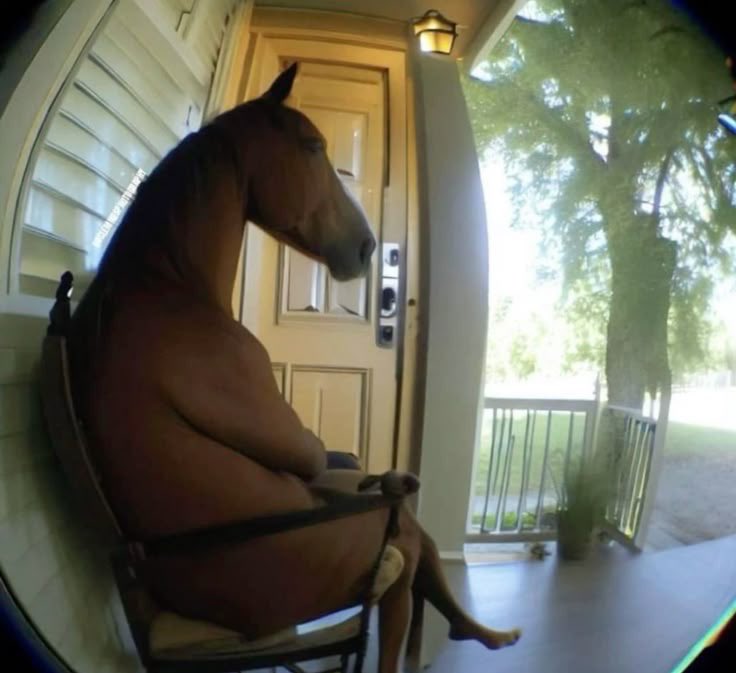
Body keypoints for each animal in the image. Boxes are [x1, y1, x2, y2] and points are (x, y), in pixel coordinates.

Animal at [67, 63, 521, 673]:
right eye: (312, 145)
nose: (369, 246)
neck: (166, 285)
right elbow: (310, 451)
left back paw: (482, 633)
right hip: (375, 554)